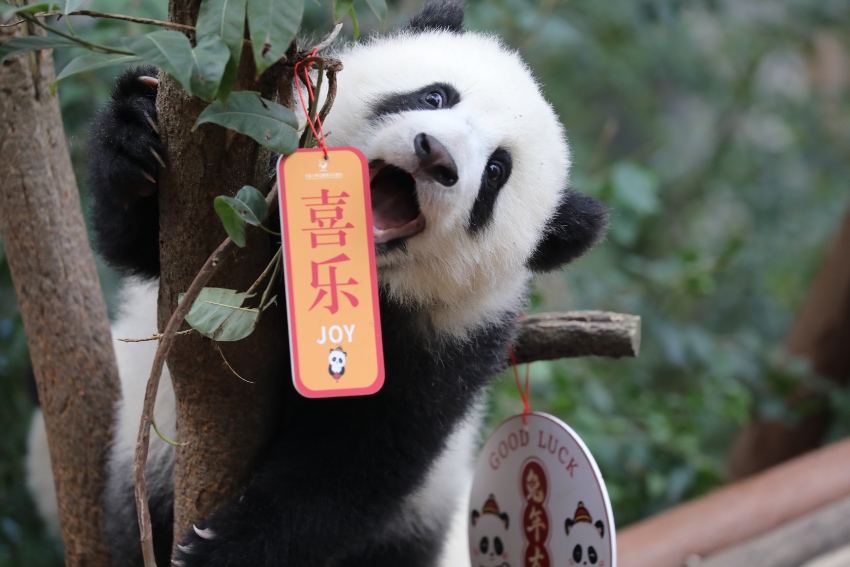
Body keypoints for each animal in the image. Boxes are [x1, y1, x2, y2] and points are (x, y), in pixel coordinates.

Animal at [26, 1, 607, 566]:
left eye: (495, 172)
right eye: (435, 95)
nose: (435, 154)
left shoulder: (448, 343)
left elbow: (359, 462)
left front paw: (226, 548)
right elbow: (149, 249)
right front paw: (135, 131)